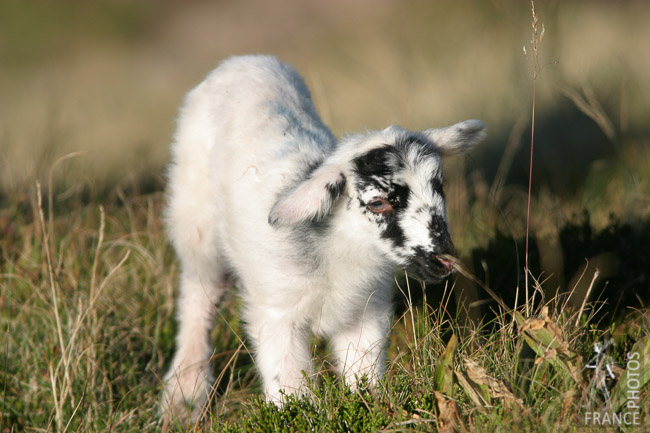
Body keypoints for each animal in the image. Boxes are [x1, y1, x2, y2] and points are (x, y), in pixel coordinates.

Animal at [162, 52, 486, 420]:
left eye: (439, 186)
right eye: (377, 203)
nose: (442, 258)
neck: (337, 248)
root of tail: (245, 60)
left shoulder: (365, 313)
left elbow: (363, 378)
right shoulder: (277, 315)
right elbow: (290, 388)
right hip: (195, 220)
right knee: (198, 299)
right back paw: (184, 395)